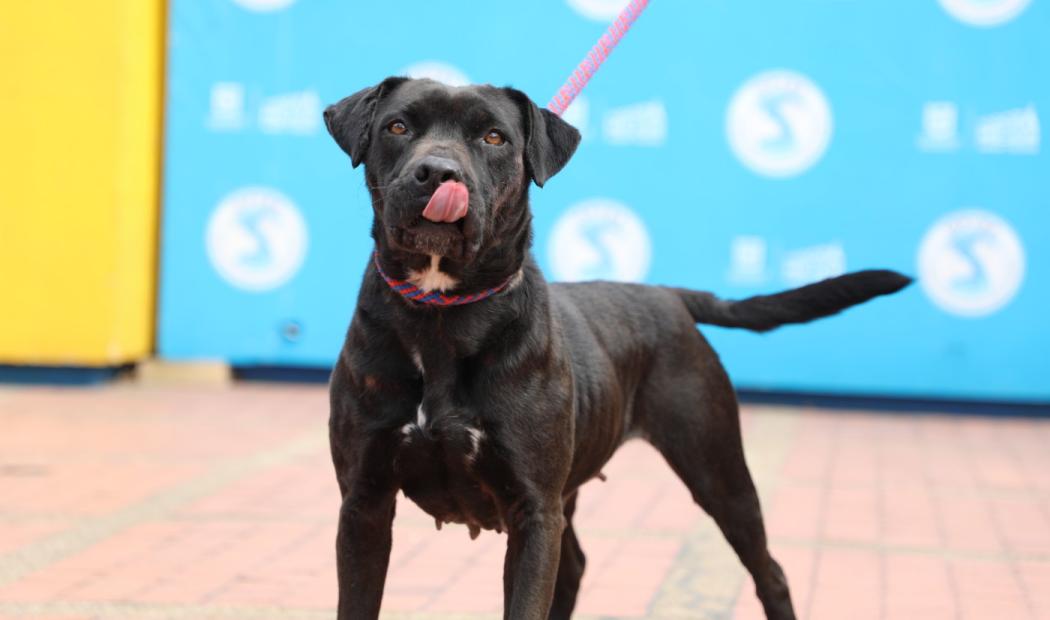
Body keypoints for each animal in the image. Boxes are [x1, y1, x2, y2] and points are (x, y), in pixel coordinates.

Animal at [321, 78, 911, 620]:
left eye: (493, 137)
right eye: (398, 127)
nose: (439, 172)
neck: (443, 315)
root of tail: (668, 295)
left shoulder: (534, 511)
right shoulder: (364, 502)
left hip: (719, 472)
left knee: (771, 571)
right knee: (576, 568)